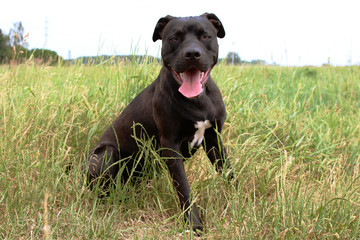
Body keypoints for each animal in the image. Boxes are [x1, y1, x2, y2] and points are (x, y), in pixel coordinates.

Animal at [88, 13, 231, 232]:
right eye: (174, 38)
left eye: (206, 36)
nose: (192, 54)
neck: (197, 100)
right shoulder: (170, 145)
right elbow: (184, 188)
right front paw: (194, 224)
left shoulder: (214, 139)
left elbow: (229, 172)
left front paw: (240, 199)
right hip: (105, 155)